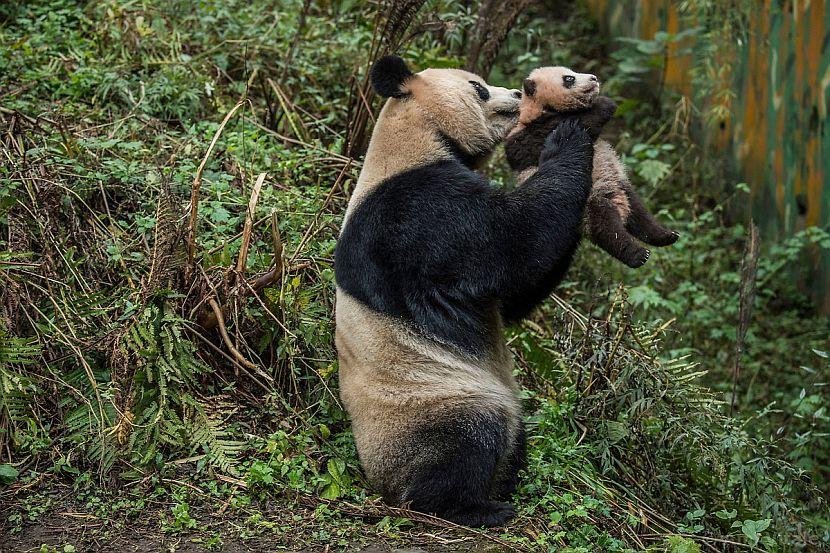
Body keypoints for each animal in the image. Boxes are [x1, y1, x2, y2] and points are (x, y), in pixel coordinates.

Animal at [334, 56, 600, 528]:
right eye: (478, 88)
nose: (516, 94)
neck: (415, 133)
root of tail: (379, 482)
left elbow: (513, 297)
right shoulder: (417, 210)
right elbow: (511, 244)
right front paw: (566, 134)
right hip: (428, 397)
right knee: (466, 440)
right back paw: (473, 507)